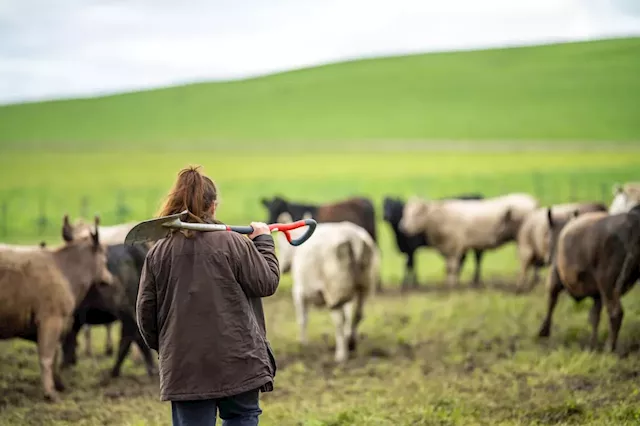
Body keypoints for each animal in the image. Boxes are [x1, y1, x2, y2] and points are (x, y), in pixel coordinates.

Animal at [276, 220, 380, 362]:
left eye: (280, 246)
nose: (283, 268)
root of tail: (354, 238)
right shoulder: (345, 294)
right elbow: (348, 314)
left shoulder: (299, 293)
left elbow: (303, 319)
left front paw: (302, 343)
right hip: (361, 287)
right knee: (357, 315)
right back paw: (351, 343)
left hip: (334, 290)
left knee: (340, 320)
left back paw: (341, 354)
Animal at [400, 194, 540, 288]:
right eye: (405, 212)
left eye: (417, 213)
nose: (402, 227)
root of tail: (531, 200)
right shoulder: (447, 249)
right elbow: (448, 267)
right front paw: (449, 283)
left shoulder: (454, 247)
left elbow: (452, 267)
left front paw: (451, 285)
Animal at [540, 204, 640, 352]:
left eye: (547, 235)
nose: (547, 258)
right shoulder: (597, 293)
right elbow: (594, 317)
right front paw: (592, 345)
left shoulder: (554, 275)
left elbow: (551, 300)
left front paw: (543, 331)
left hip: (607, 283)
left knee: (616, 312)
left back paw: (609, 348)